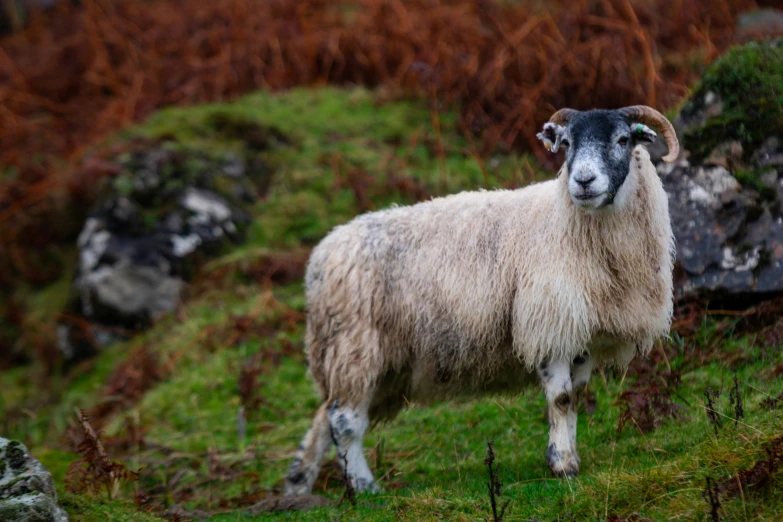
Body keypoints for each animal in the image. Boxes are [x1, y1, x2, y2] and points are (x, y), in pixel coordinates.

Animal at [284, 103, 680, 494]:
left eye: (623, 139)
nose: (583, 181)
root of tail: (322, 255)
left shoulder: (582, 334)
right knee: (344, 420)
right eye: (566, 143)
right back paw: (364, 486)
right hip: (356, 347)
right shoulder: (547, 323)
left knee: (326, 413)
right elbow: (561, 398)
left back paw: (299, 483)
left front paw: (570, 457)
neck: (564, 221)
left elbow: (576, 396)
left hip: (372, 362)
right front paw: (562, 464)